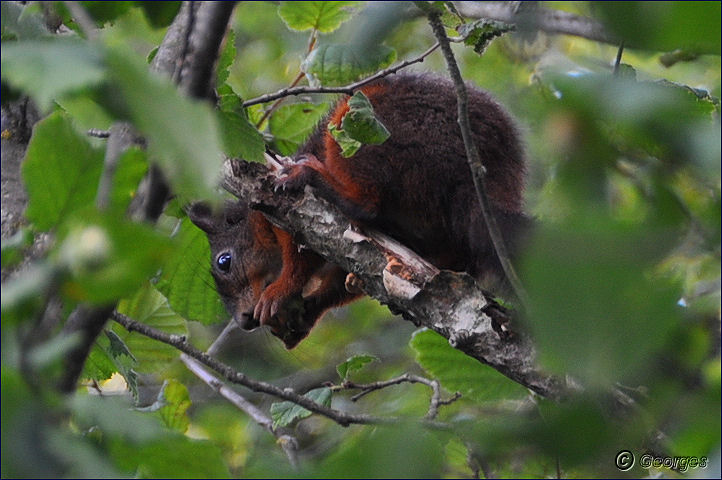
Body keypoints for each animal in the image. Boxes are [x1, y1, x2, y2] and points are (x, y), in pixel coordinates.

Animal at [190, 73, 528, 346]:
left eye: (224, 262)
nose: (243, 321)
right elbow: (346, 283)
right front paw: (305, 314)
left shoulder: (289, 216)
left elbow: (301, 260)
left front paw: (280, 291)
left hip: (368, 129)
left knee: (366, 204)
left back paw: (313, 177)